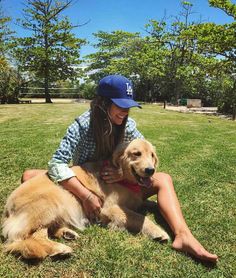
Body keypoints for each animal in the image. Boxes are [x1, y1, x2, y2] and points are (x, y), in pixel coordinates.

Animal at [1, 140, 168, 260]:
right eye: (136, 154)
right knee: (31, 236)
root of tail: (7, 208)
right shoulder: (108, 208)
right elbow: (140, 218)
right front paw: (159, 232)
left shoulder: (136, 201)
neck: (123, 178)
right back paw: (60, 249)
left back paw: (67, 233)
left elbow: (151, 203)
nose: (150, 170)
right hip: (51, 203)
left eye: (152, 155)